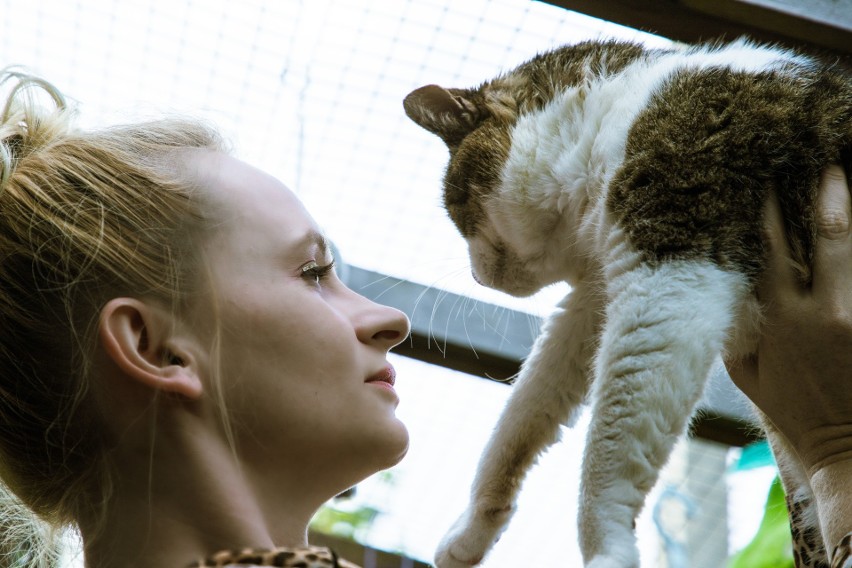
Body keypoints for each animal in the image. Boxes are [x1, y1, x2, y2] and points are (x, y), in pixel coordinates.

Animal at [402, 36, 848, 568]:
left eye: (456, 212)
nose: (475, 275)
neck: (617, 111)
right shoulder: (594, 297)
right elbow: (523, 415)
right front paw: (471, 530)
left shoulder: (669, 273)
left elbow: (611, 441)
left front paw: (606, 549)